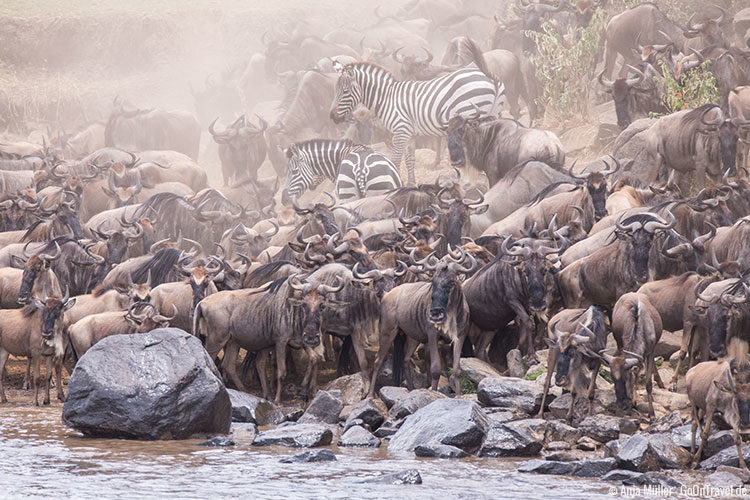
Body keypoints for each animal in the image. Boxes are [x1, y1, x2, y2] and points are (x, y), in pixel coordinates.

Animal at [330, 37, 502, 186]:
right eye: (335, 90)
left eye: (345, 91)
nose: (332, 116)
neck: (387, 97)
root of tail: (489, 77)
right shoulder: (409, 134)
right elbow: (409, 160)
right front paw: (410, 184)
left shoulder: (400, 131)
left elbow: (396, 160)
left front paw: (394, 183)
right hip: (493, 114)